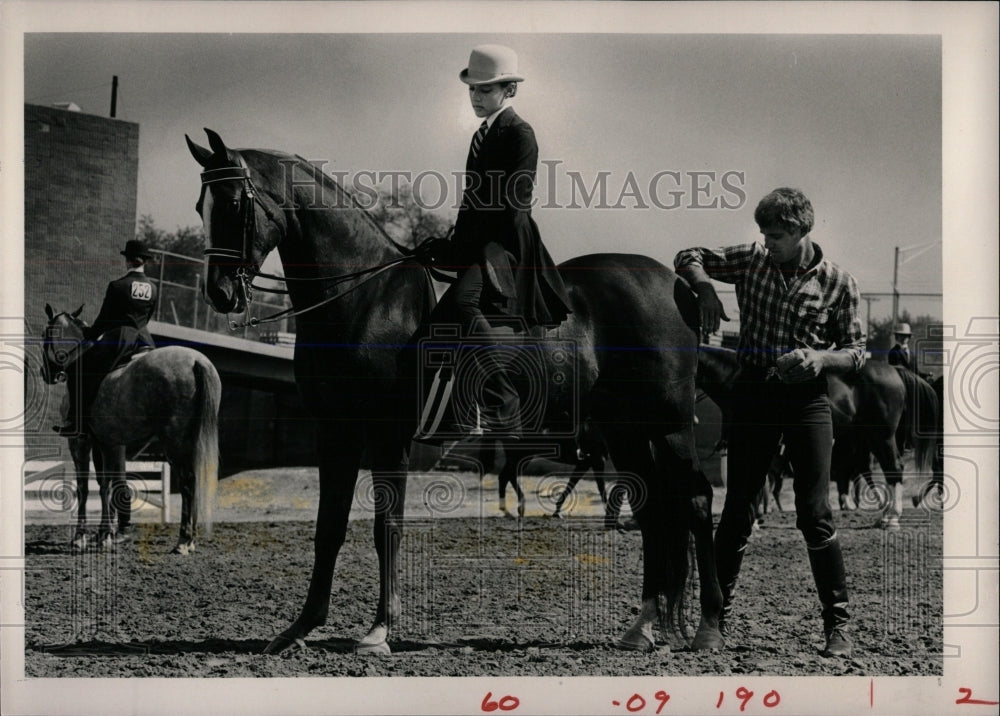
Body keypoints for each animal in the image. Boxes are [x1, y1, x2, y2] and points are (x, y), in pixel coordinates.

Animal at [41, 304, 221, 552]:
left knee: (187, 482)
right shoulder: (106, 444)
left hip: (174, 444)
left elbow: (85, 487)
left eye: (45, 334)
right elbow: (106, 484)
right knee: (193, 482)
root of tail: (196, 360)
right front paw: (104, 534)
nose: (46, 373)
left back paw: (183, 541)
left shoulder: (80, 442)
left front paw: (82, 537)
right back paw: (190, 539)